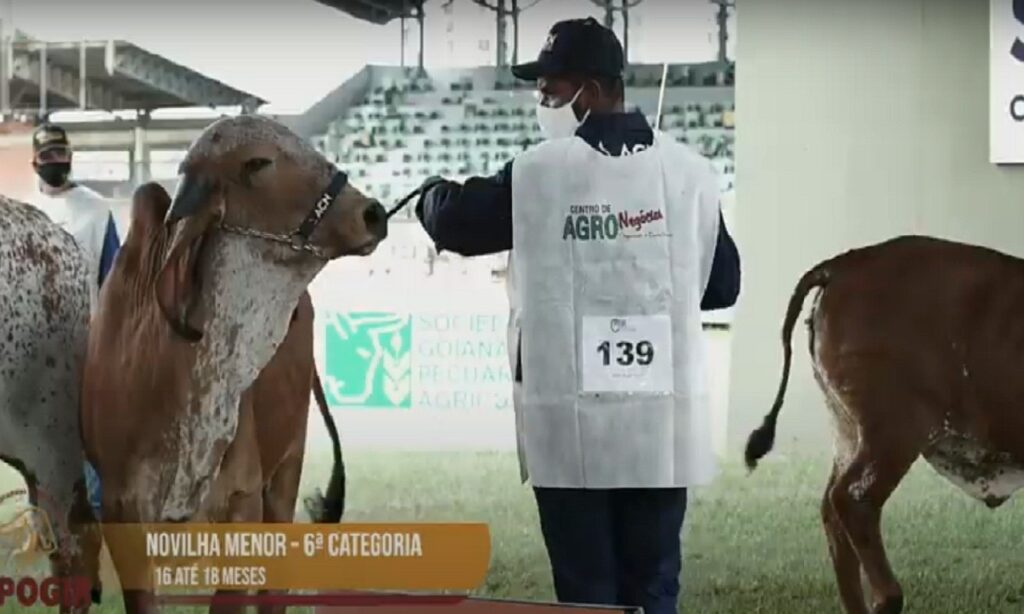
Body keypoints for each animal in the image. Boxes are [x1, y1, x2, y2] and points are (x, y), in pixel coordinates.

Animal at [745, 235, 1024, 614]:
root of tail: (842, 265)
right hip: (894, 430)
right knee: (852, 500)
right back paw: (887, 598)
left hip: (850, 431)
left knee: (832, 511)